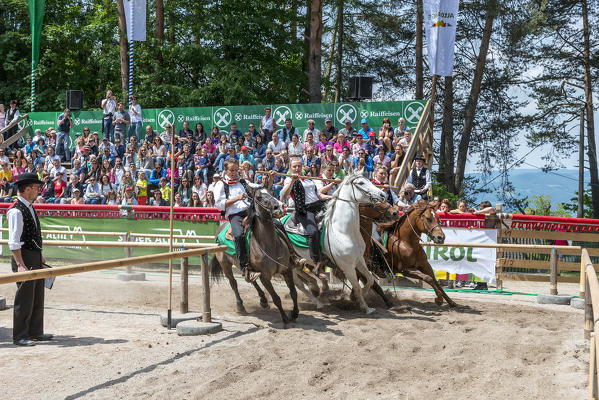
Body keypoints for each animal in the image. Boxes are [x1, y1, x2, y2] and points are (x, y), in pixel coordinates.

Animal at [292, 173, 386, 314]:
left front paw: (359, 298)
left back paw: (316, 289)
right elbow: (357, 286)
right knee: (298, 283)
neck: (342, 231)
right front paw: (365, 307)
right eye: (361, 183)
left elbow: (370, 280)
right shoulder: (347, 267)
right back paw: (318, 301)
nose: (382, 195)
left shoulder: (359, 260)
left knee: (301, 275)